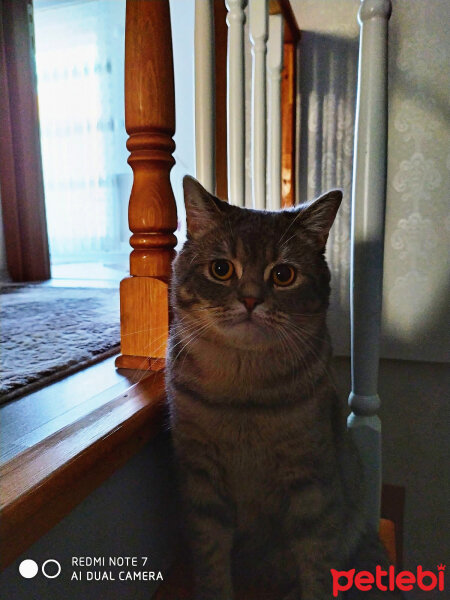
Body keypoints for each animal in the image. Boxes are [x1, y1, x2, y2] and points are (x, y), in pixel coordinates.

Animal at [164, 176, 400, 596]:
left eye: (283, 275)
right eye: (221, 269)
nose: (250, 300)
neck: (243, 393)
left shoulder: (312, 483)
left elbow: (317, 564)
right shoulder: (201, 483)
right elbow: (211, 561)